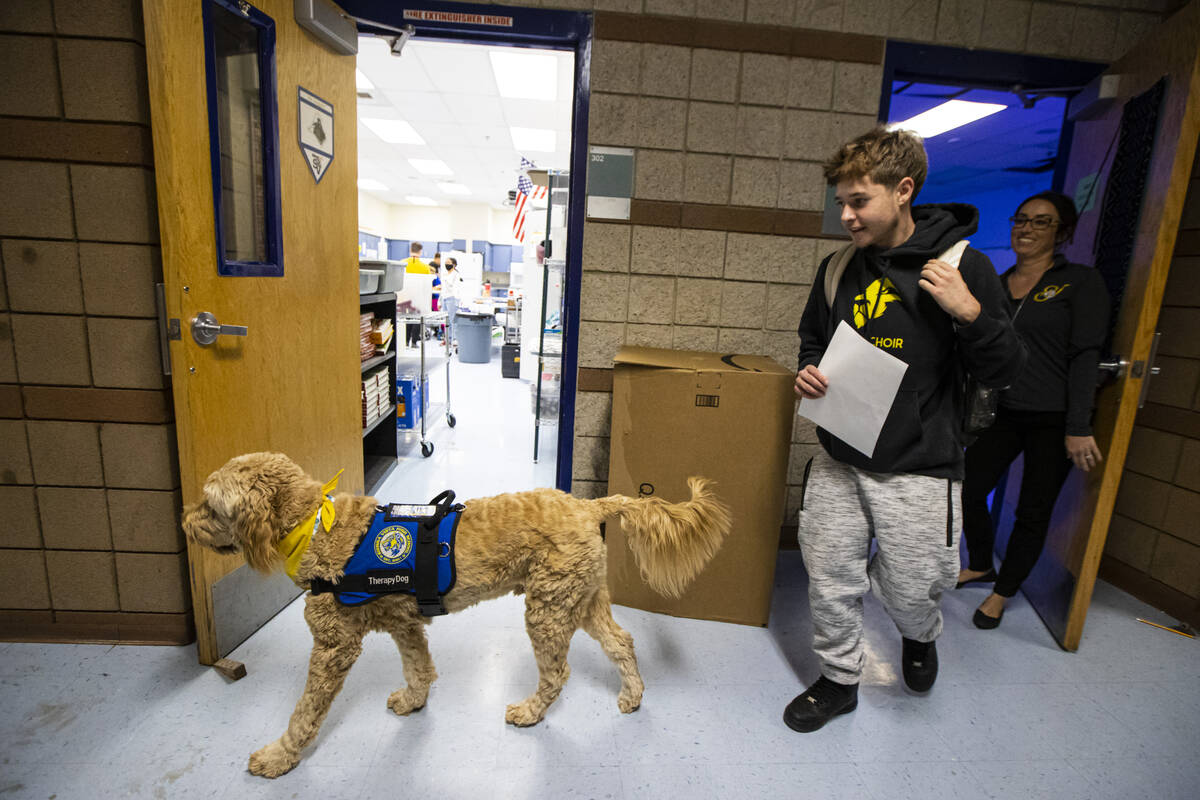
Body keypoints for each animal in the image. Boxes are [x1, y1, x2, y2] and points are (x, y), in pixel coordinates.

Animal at [183, 453, 729, 777]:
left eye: (210, 506)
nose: (185, 522)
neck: (314, 525)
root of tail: (588, 506)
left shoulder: (334, 647)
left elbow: (304, 713)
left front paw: (280, 756)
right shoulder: (405, 623)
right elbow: (419, 668)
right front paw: (414, 701)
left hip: (549, 608)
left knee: (559, 672)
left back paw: (531, 712)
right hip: (582, 598)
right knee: (622, 642)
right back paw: (632, 695)